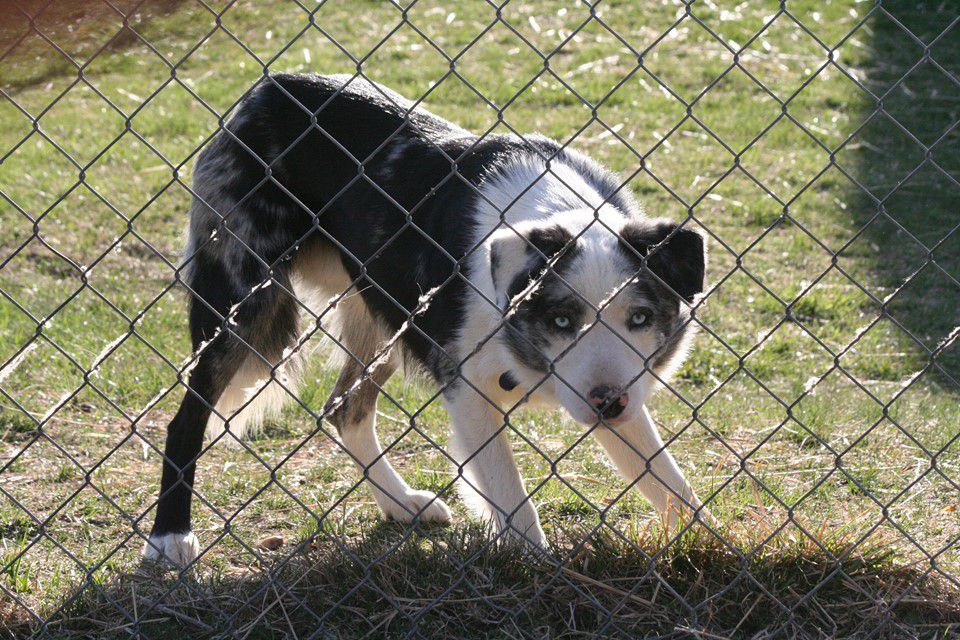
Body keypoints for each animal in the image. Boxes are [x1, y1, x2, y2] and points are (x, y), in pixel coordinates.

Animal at [146, 74, 708, 564]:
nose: (608, 403)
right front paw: (539, 570)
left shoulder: (623, 396)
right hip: (242, 305)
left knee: (344, 409)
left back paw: (400, 504)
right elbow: (513, 502)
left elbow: (670, 484)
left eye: (640, 317)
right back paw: (169, 537)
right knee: (186, 419)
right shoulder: (470, 390)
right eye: (562, 321)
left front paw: (706, 547)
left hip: (378, 322)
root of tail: (267, 88)